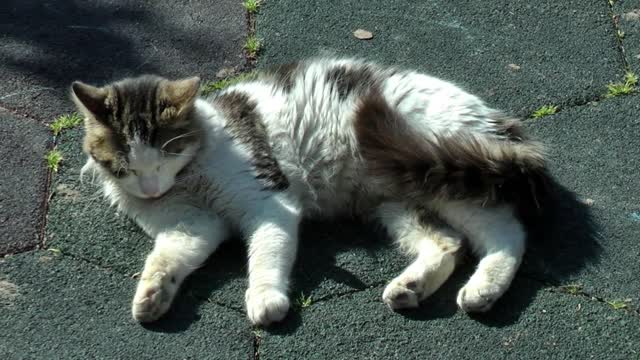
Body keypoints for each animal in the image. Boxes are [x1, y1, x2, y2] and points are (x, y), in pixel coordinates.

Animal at [71, 57, 552, 326]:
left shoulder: (268, 203)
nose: (150, 190)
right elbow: (165, 260)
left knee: (509, 233)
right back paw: (409, 288)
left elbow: (266, 257)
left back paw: (482, 291)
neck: (191, 177)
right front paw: (152, 295)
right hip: (399, 201)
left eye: (163, 158)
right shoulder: (191, 226)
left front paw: (266, 299)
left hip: (440, 172)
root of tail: (504, 127)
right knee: (449, 243)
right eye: (126, 167)